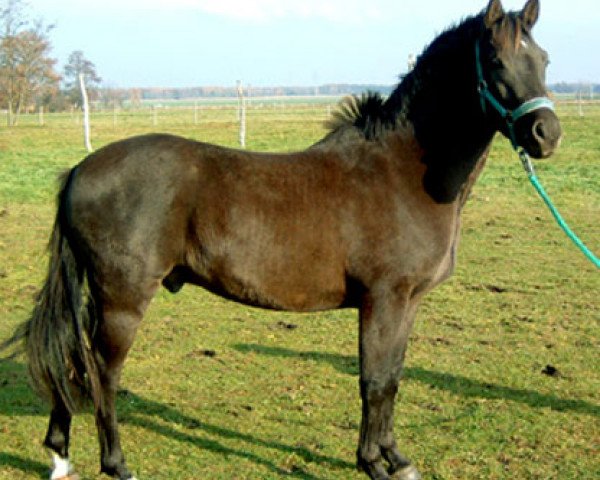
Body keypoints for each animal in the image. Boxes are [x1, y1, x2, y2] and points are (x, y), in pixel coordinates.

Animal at [5, 0, 564, 480]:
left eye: (543, 59)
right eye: (497, 61)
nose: (546, 133)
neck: (402, 172)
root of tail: (81, 169)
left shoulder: (407, 303)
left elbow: (393, 379)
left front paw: (395, 457)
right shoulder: (383, 299)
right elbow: (373, 380)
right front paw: (372, 463)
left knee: (72, 363)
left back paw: (59, 456)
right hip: (122, 297)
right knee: (101, 373)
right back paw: (117, 465)